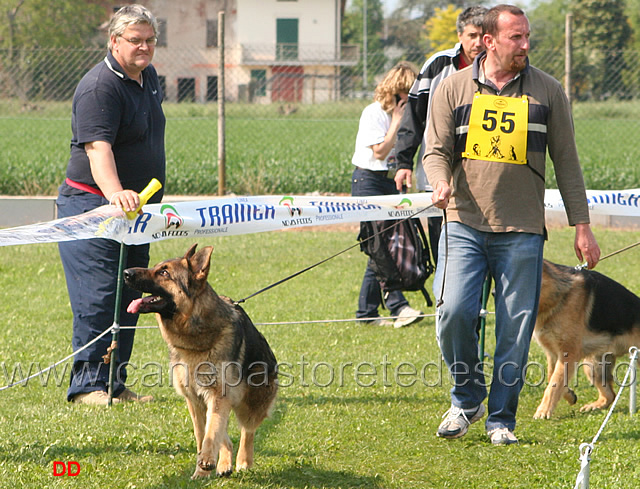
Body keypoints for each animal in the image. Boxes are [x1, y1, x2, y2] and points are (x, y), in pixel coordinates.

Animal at [124, 243, 276, 476]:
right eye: (156, 267)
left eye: (164, 273)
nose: (125, 273)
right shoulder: (194, 399)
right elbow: (204, 433)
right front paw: (202, 470)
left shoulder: (218, 396)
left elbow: (212, 430)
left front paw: (206, 462)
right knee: (224, 435)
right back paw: (224, 463)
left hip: (252, 404)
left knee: (247, 430)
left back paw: (243, 461)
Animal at [528, 262, 640, 418]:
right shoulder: (552, 353)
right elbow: (552, 376)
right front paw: (569, 394)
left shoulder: (568, 353)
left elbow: (555, 381)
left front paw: (543, 410)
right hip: (592, 365)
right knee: (610, 395)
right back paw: (595, 405)